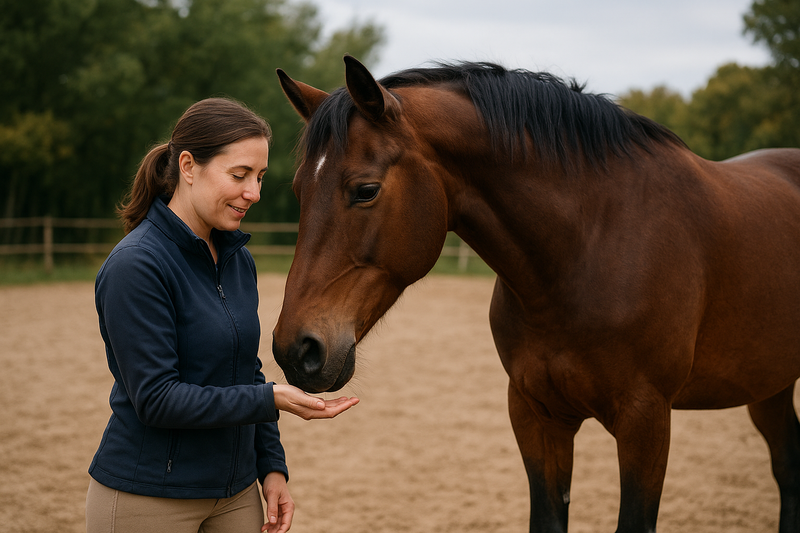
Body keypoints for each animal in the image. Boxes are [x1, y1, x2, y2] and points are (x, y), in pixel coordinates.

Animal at [271, 55, 800, 532]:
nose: (295, 350)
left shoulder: (646, 421)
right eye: (298, 190)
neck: (589, 246)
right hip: (769, 388)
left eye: (365, 190)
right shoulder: (535, 415)